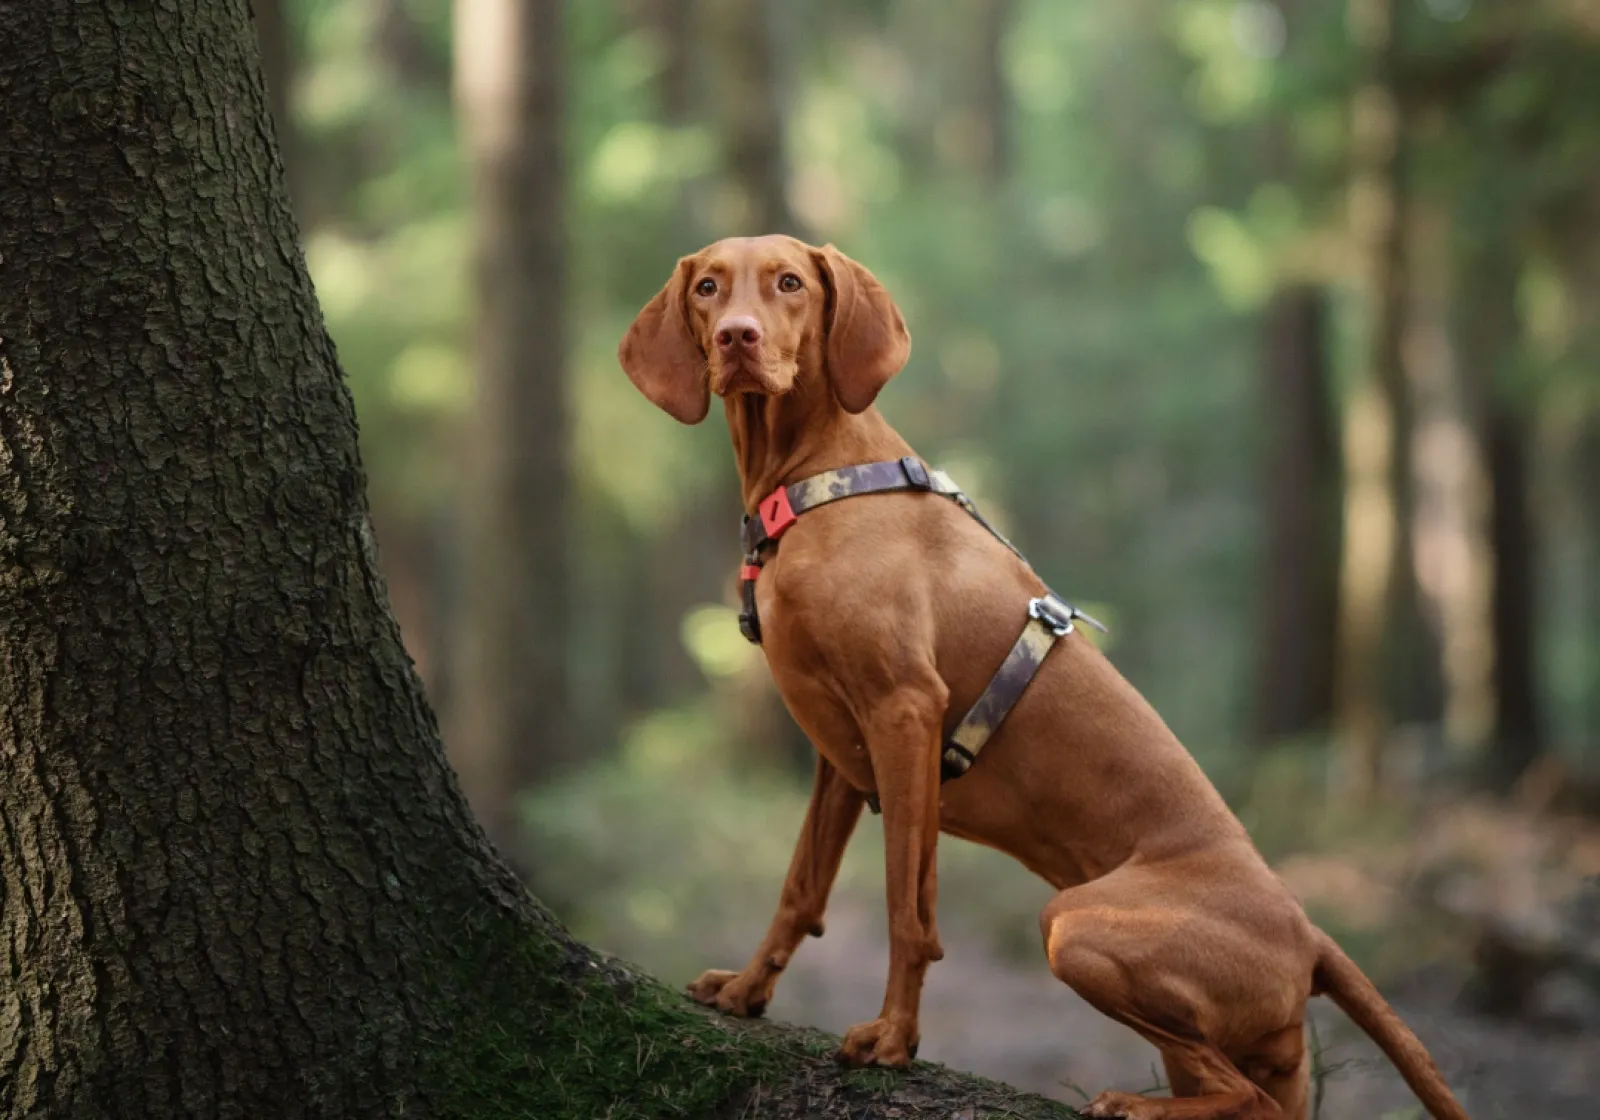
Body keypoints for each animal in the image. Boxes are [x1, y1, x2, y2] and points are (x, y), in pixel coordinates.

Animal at [617, 236, 1465, 1120]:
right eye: (709, 288)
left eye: (788, 283)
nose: (737, 338)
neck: (815, 479)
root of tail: (1309, 929)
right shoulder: (841, 752)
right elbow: (801, 889)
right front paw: (750, 990)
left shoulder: (903, 712)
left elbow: (907, 909)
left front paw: (894, 1038)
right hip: (1248, 1037)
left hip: (1076, 924)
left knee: (1241, 1098)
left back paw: (1133, 1105)